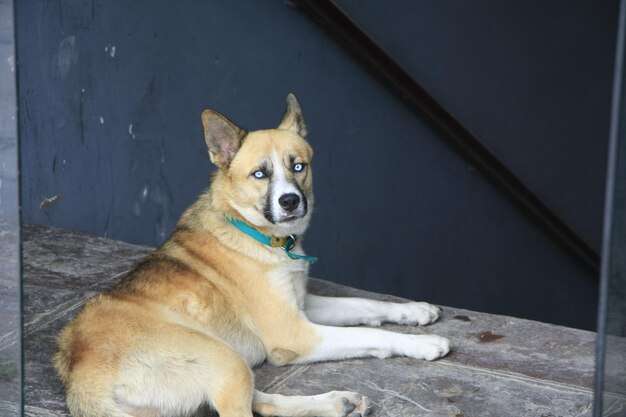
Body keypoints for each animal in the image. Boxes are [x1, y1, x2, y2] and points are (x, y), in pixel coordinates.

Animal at [53, 94, 448, 416]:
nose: (290, 201)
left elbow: (367, 306)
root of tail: (80, 375)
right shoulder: (296, 334)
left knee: (263, 401)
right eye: (260, 174)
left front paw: (415, 311)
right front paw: (424, 344)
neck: (259, 235)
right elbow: (371, 334)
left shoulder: (302, 305)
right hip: (226, 359)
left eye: (298, 166)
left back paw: (338, 403)